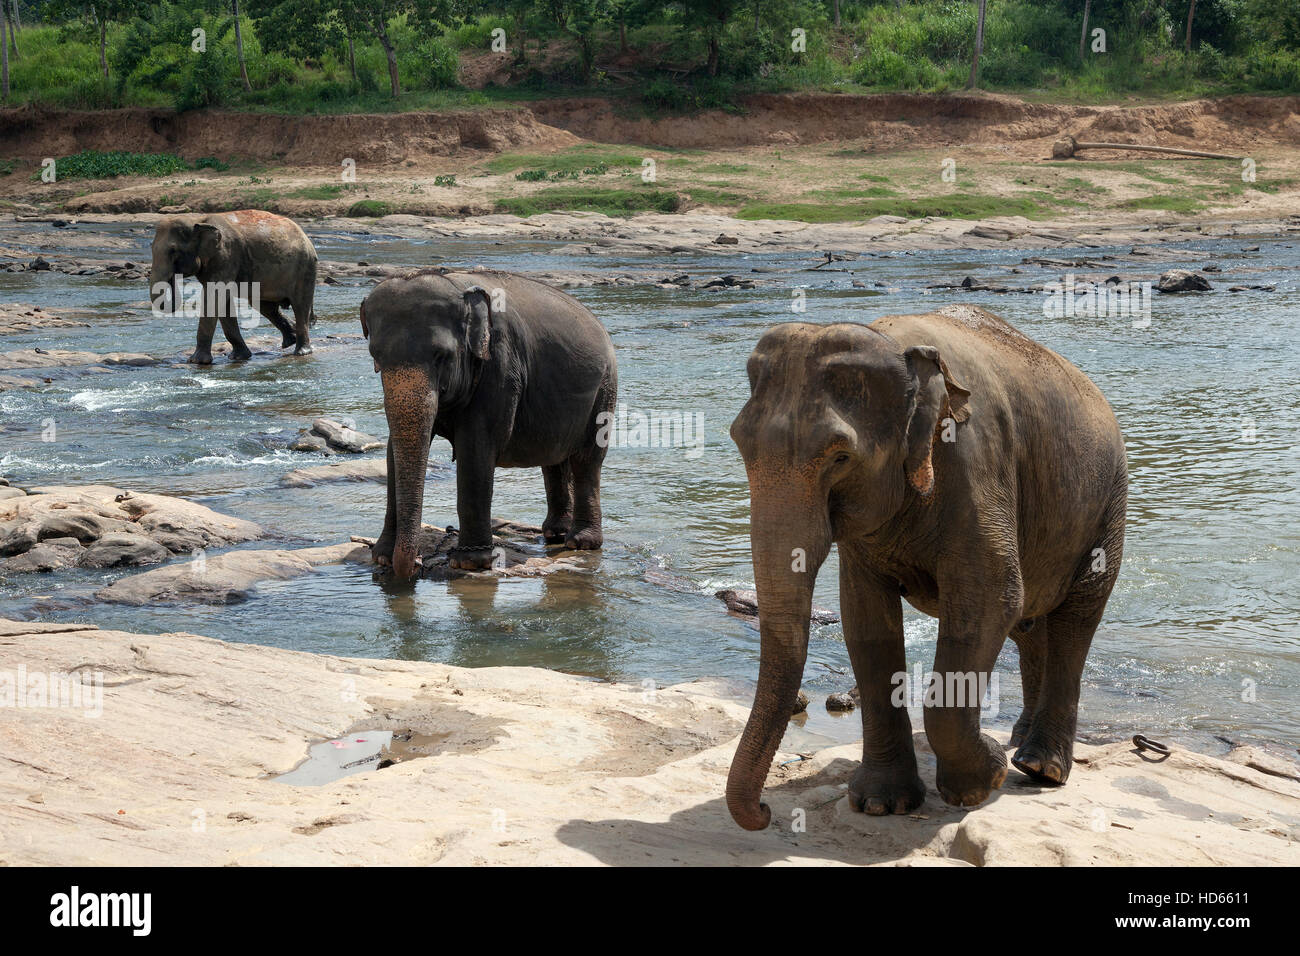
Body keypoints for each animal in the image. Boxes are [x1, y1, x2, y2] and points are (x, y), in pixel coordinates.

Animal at [148, 210, 317, 364]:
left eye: (173, 251)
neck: (197, 219)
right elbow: (224, 302)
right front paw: (238, 357)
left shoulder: (226, 255)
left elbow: (214, 297)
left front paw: (196, 361)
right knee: (265, 307)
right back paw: (290, 339)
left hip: (305, 268)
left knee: (300, 305)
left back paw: (302, 351)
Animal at [358, 270, 616, 582]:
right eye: (376, 356)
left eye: (441, 356)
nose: (418, 563)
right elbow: (392, 451)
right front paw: (382, 557)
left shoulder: (501, 367)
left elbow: (476, 446)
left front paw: (470, 562)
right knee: (554, 459)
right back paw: (555, 533)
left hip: (604, 389)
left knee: (587, 459)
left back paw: (581, 543)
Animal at [728, 304, 1123, 832]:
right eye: (740, 444)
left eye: (840, 456)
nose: (765, 810)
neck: (898, 347)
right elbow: (865, 620)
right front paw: (882, 804)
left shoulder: (976, 460)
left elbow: (990, 598)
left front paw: (983, 779)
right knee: (1031, 626)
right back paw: (1020, 744)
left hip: (1107, 507)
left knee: (1075, 617)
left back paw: (1040, 768)